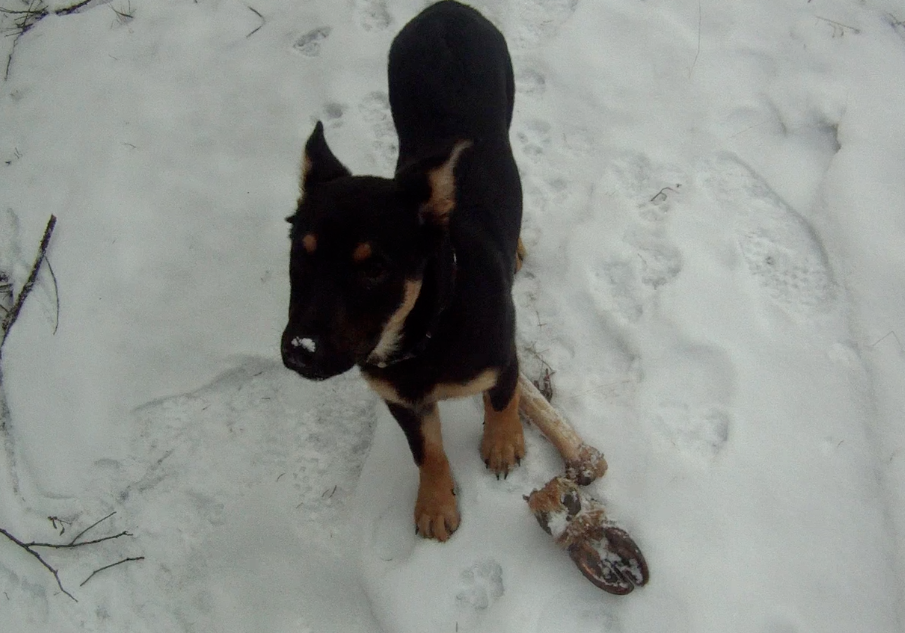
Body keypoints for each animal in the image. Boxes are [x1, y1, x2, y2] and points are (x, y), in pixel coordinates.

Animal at [282, 1, 523, 542]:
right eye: (299, 253)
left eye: (375, 269)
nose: (299, 353)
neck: (426, 329)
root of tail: (446, 8)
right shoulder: (399, 398)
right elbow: (426, 450)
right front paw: (435, 506)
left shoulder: (502, 357)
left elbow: (502, 401)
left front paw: (503, 446)